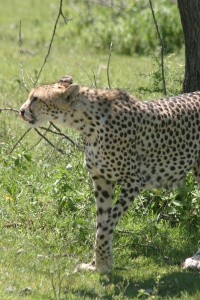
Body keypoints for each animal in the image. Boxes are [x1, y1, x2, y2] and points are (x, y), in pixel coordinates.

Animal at [19, 75, 200, 274]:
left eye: (35, 99)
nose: (21, 111)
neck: (86, 122)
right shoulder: (101, 180)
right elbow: (101, 223)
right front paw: (95, 263)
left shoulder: (134, 181)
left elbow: (106, 226)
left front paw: (103, 262)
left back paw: (196, 259)